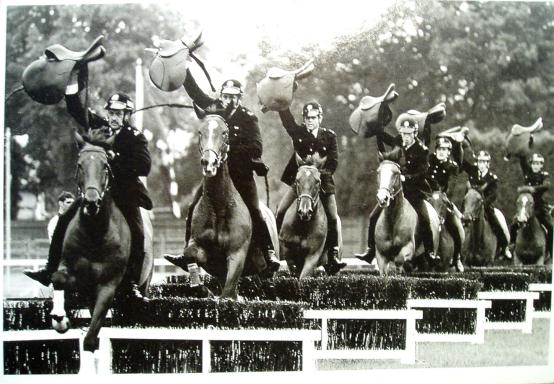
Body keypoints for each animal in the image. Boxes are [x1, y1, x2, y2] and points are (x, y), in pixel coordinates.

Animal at [49, 137, 153, 372]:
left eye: (105, 166)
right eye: (80, 165)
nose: (91, 202)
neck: (95, 232)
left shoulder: (107, 286)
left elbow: (90, 339)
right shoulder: (76, 275)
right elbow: (58, 278)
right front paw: (60, 318)